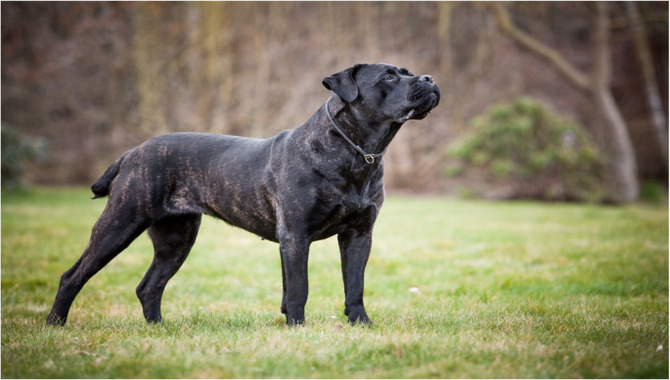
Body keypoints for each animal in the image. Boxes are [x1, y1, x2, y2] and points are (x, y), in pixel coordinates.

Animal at [50, 63, 444, 326]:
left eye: (408, 71)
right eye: (389, 77)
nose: (429, 78)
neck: (359, 151)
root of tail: (133, 151)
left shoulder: (359, 233)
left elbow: (354, 284)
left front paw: (361, 325)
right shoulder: (296, 235)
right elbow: (298, 287)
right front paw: (298, 328)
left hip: (176, 238)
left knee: (149, 286)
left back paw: (158, 330)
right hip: (120, 222)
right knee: (74, 275)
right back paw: (55, 325)